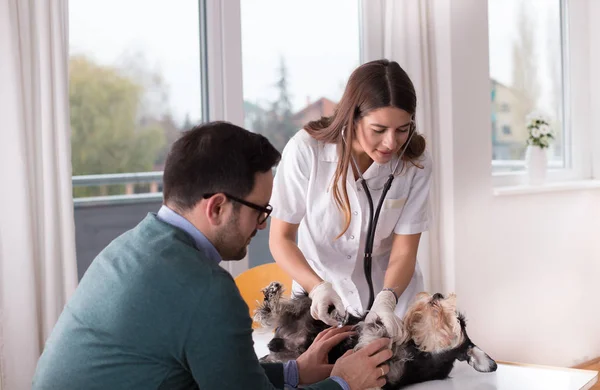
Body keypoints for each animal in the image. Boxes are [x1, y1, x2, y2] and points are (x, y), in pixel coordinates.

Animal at [254, 282, 496, 388]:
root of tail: (279, 344)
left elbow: (380, 339)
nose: (437, 294)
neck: (418, 347)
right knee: (286, 310)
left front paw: (374, 334)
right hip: (308, 307)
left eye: (459, 320)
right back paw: (272, 297)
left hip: (289, 354)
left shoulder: (387, 376)